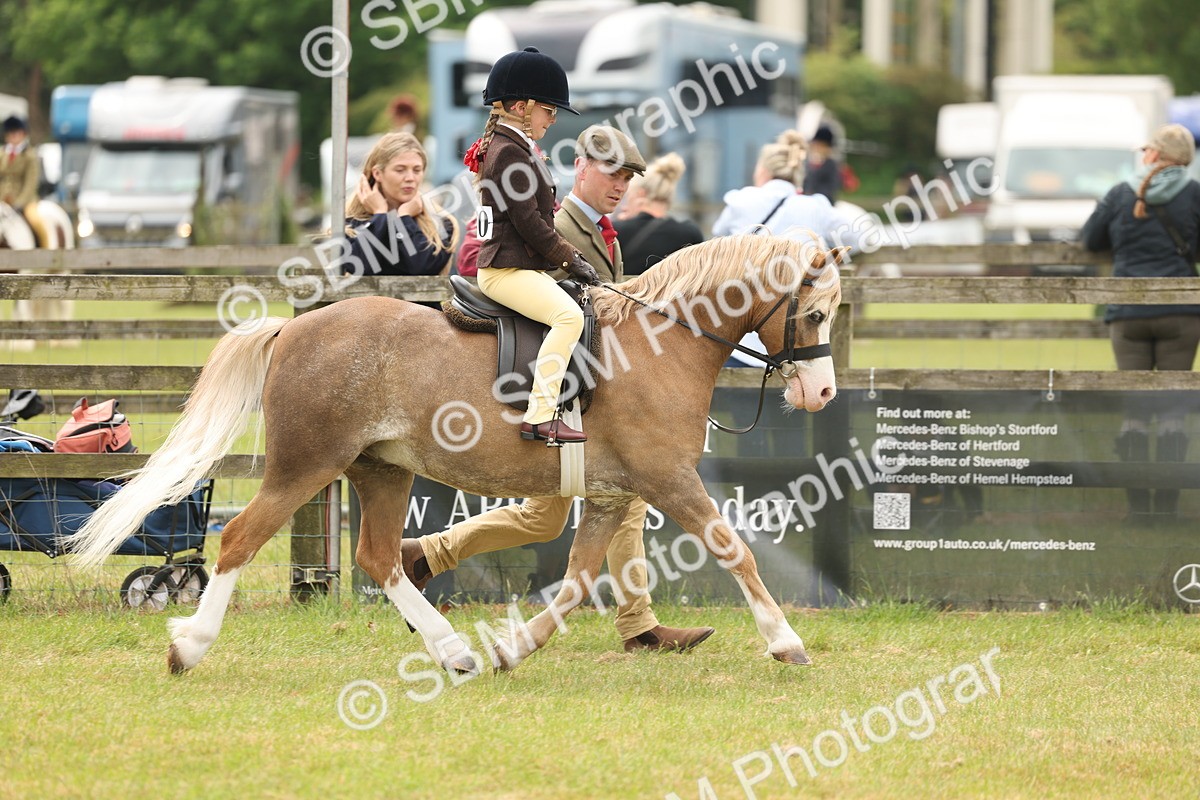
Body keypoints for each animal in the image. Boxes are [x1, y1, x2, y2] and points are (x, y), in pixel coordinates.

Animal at [1, 199, 77, 350]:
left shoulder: (22, 274)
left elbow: (21, 308)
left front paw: (22, 344)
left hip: (61, 270)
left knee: (63, 304)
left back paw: (66, 341)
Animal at [70, 233, 845, 676]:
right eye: (814, 313)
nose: (823, 392)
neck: (661, 340)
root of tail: (293, 329)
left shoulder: (610, 496)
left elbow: (574, 584)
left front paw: (513, 649)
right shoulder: (670, 480)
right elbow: (735, 551)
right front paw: (785, 643)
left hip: (381, 470)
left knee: (381, 558)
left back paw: (456, 651)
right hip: (305, 468)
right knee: (237, 540)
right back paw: (188, 648)